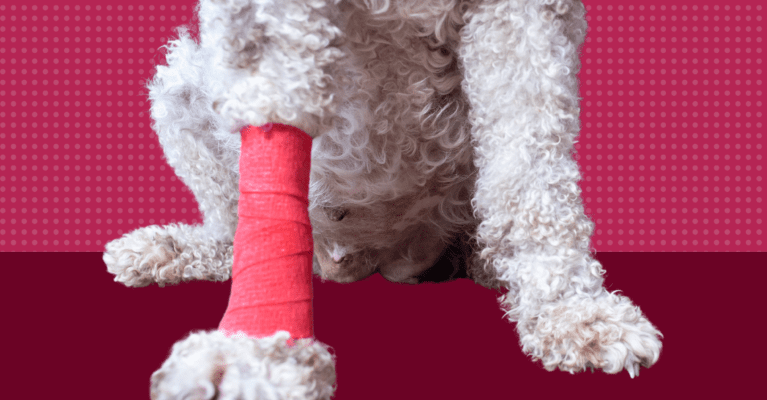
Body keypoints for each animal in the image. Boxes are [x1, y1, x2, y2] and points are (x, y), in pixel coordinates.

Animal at [105, 0, 664, 396]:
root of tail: (373, 259)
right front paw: (259, 346)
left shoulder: (523, 14)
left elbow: (531, 160)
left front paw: (567, 306)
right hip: (182, 82)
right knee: (232, 215)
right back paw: (182, 249)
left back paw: (490, 262)